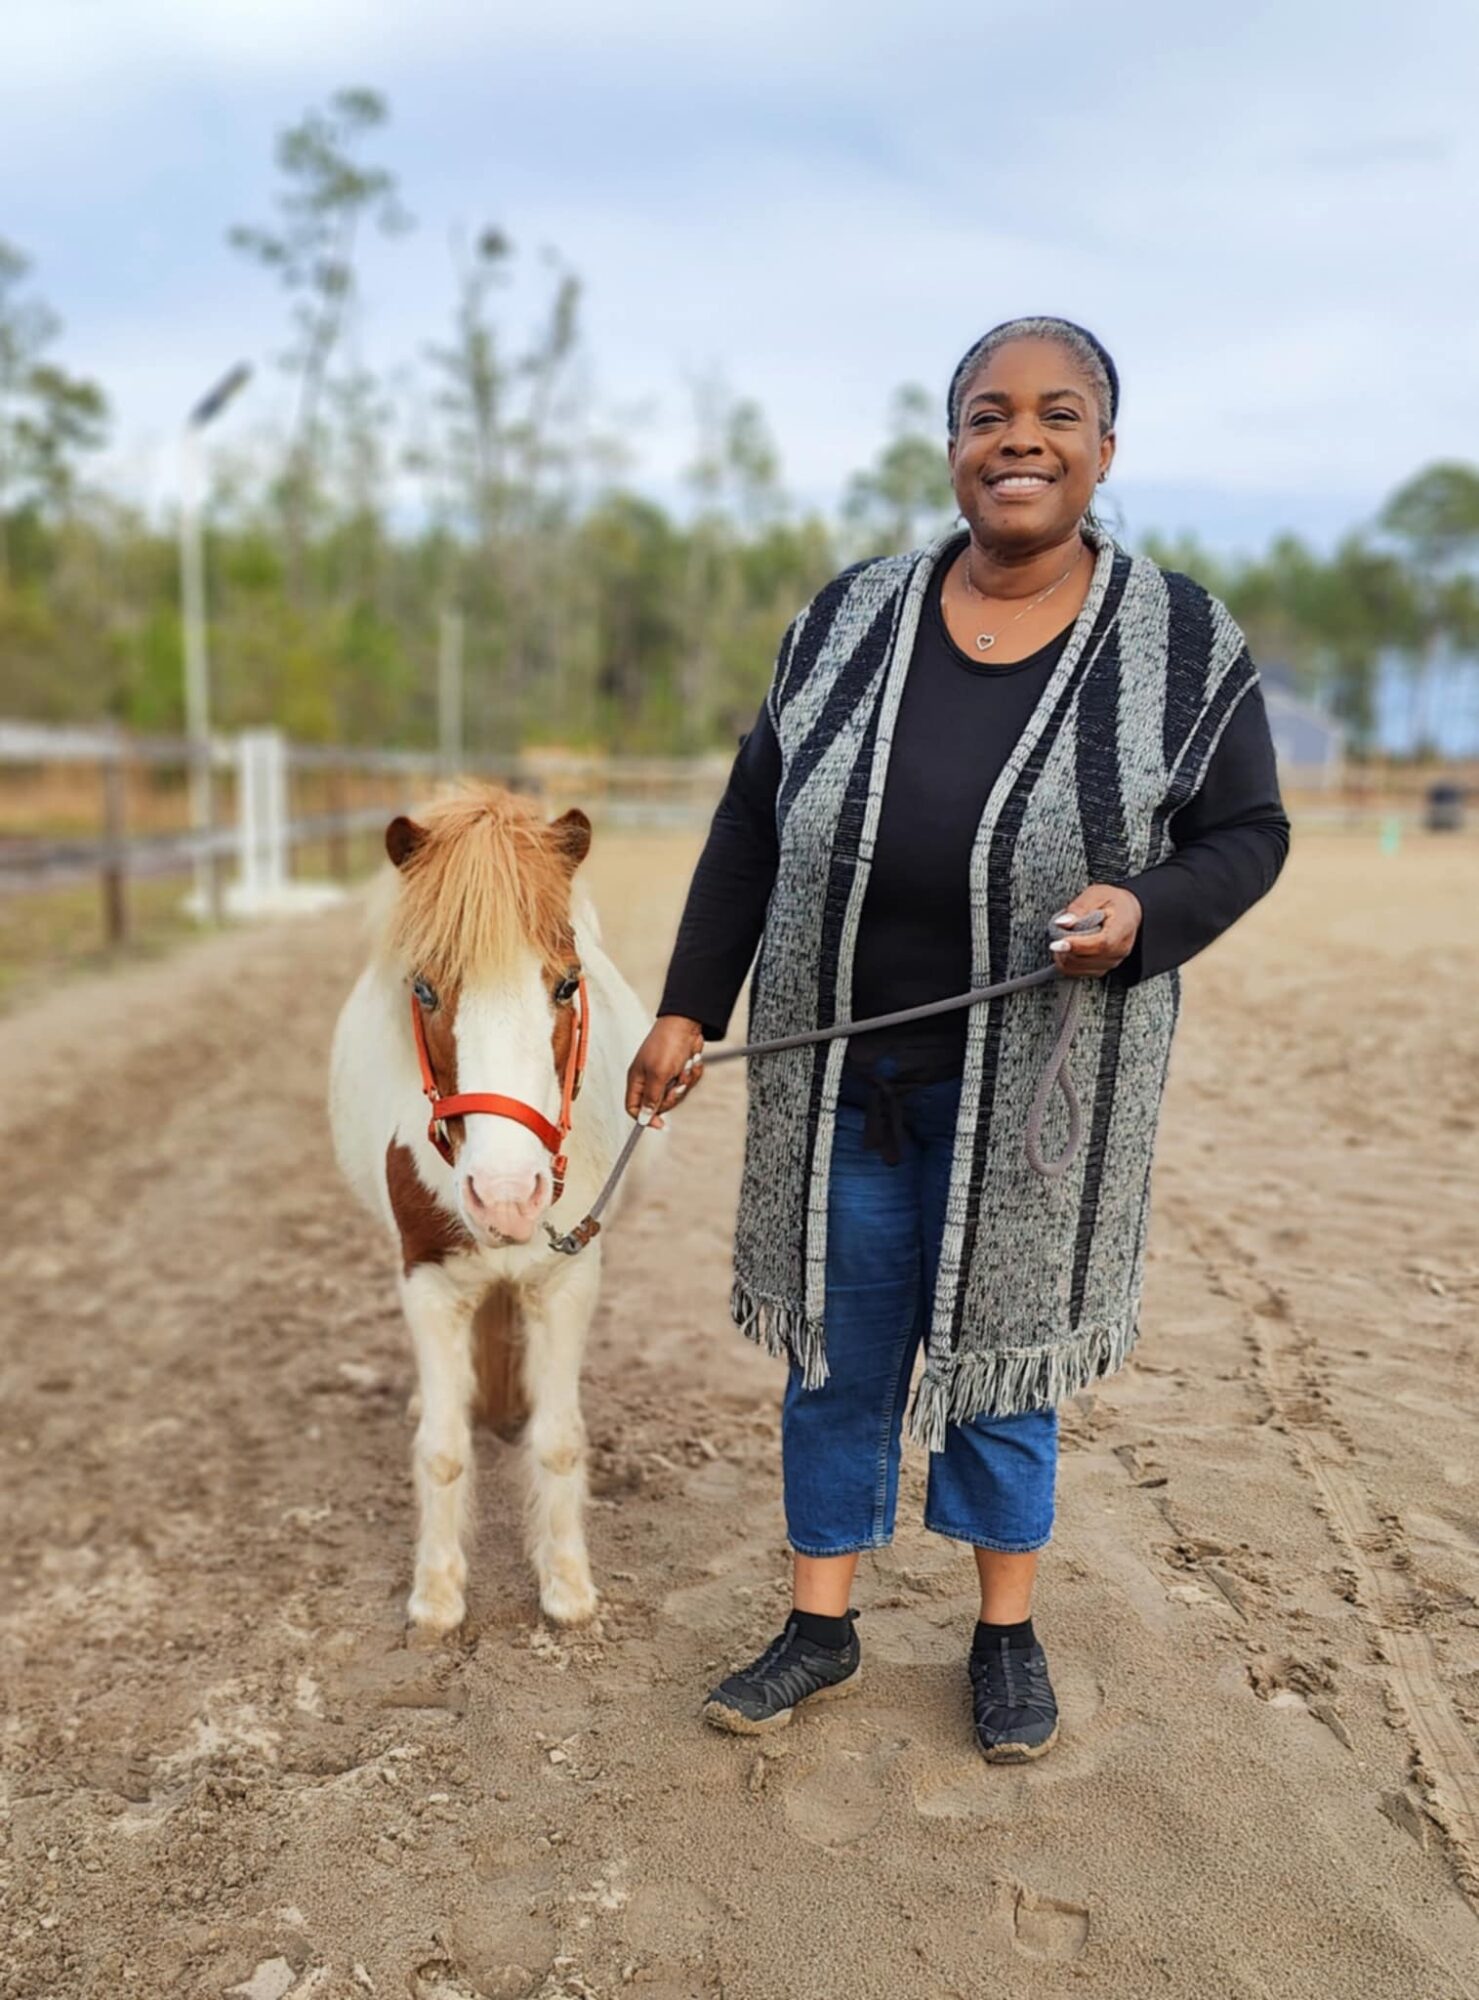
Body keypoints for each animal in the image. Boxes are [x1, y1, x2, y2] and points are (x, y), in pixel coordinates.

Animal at [328, 782, 657, 1633]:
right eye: (423, 988)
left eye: (566, 984)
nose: (507, 1195)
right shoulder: (428, 1279)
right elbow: (443, 1448)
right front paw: (437, 1596)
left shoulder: (566, 1278)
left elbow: (559, 1440)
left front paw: (567, 1588)